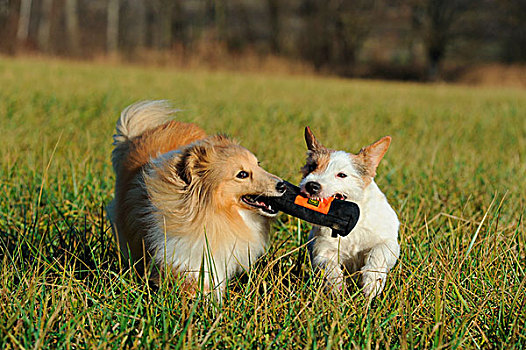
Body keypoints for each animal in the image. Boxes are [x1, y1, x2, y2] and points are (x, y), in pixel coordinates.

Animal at [302, 127, 400, 300]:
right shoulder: (322, 249)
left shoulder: (390, 243)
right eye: (312, 166)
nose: (311, 186)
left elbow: (379, 251)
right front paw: (336, 286)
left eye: (342, 175)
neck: (350, 220)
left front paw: (372, 281)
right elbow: (328, 265)